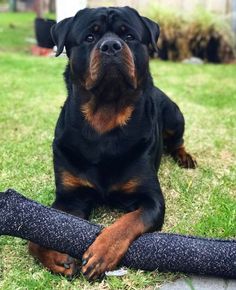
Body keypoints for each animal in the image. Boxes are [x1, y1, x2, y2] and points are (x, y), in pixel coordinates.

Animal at [28, 5, 196, 280]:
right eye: (89, 37)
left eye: (128, 36)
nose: (110, 46)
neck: (104, 122)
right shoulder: (70, 196)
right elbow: (40, 230)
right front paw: (54, 255)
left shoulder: (151, 199)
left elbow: (129, 222)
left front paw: (102, 251)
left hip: (173, 114)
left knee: (177, 141)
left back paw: (185, 157)